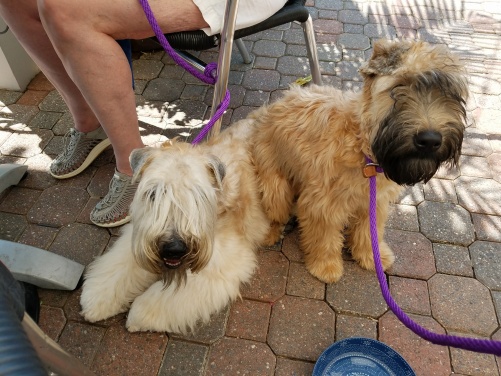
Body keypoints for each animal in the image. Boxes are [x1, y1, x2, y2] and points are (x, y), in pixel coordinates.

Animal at [250, 39, 468, 284]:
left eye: (449, 93)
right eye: (399, 86)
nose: (430, 140)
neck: (363, 148)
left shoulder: (374, 201)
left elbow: (368, 231)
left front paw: (372, 257)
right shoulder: (323, 203)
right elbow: (324, 237)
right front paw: (326, 266)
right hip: (276, 188)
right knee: (274, 212)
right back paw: (270, 233)